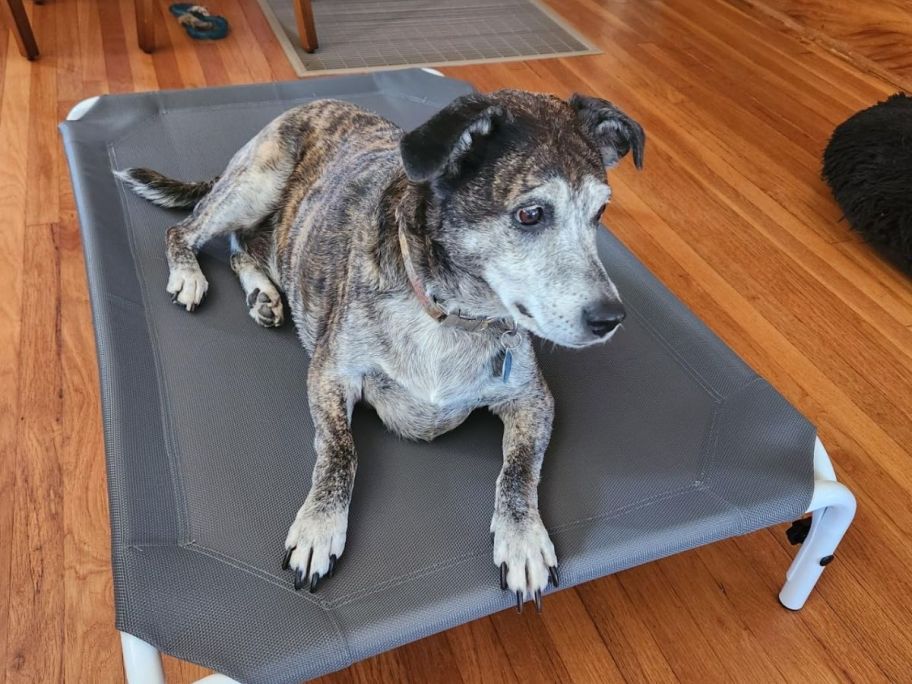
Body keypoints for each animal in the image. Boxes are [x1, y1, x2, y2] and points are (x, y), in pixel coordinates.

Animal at [116, 88, 640, 612]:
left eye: (600, 214)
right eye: (530, 214)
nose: (611, 318)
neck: (451, 313)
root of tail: (308, 105)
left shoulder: (534, 400)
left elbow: (520, 469)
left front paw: (524, 537)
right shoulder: (329, 374)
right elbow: (341, 450)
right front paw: (319, 526)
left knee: (242, 245)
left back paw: (263, 294)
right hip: (255, 185)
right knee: (187, 231)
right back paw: (191, 274)